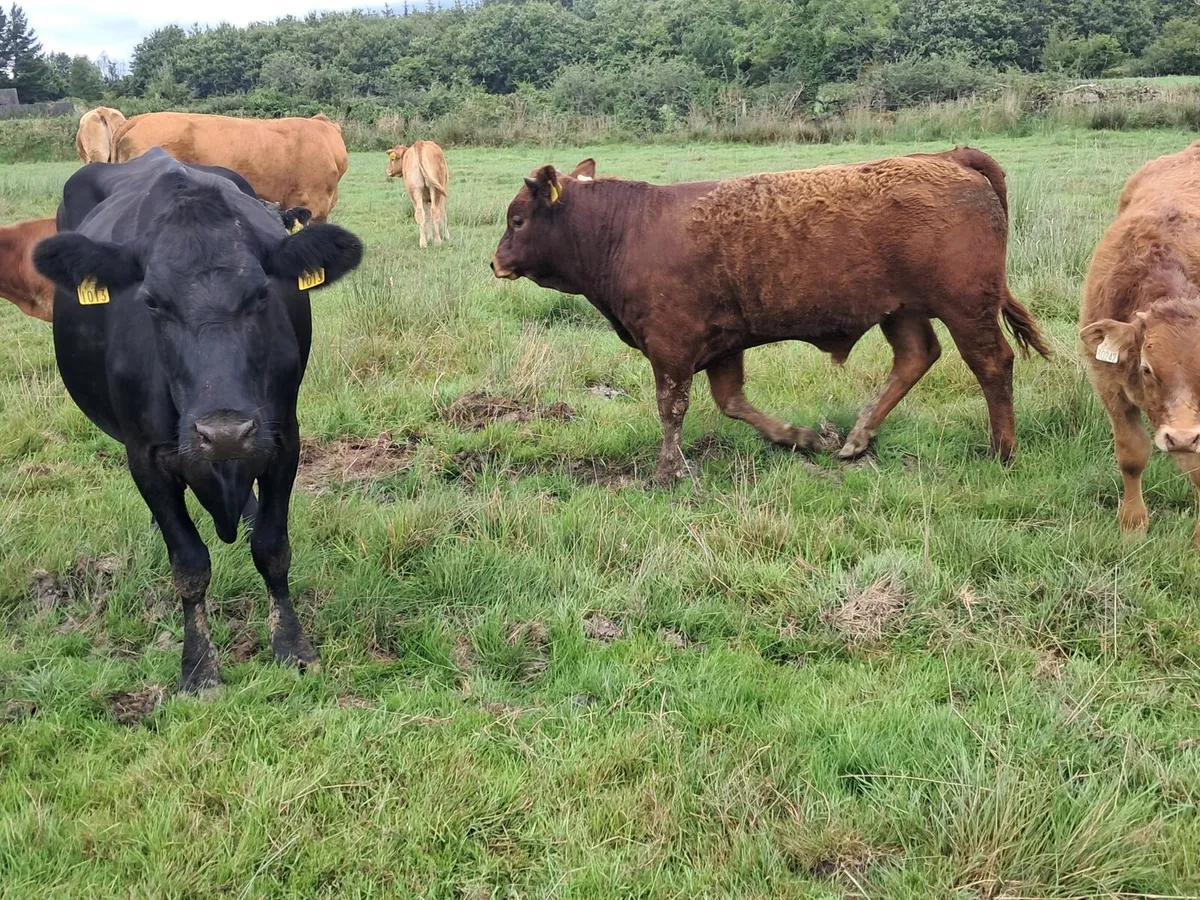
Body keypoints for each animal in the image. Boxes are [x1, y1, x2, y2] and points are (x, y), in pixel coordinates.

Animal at [32, 148, 363, 691]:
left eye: (261, 294)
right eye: (151, 301)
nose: (224, 433)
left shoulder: (283, 440)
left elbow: (273, 548)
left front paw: (292, 646)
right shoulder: (145, 456)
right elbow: (189, 564)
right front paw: (199, 667)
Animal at [491, 150, 1050, 483]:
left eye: (517, 220)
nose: (495, 262)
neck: (626, 229)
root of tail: (947, 156)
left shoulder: (672, 346)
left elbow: (671, 409)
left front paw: (667, 472)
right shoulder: (722, 345)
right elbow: (733, 402)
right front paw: (797, 437)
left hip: (966, 308)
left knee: (992, 364)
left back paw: (1002, 450)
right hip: (902, 310)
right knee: (916, 358)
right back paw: (857, 437)